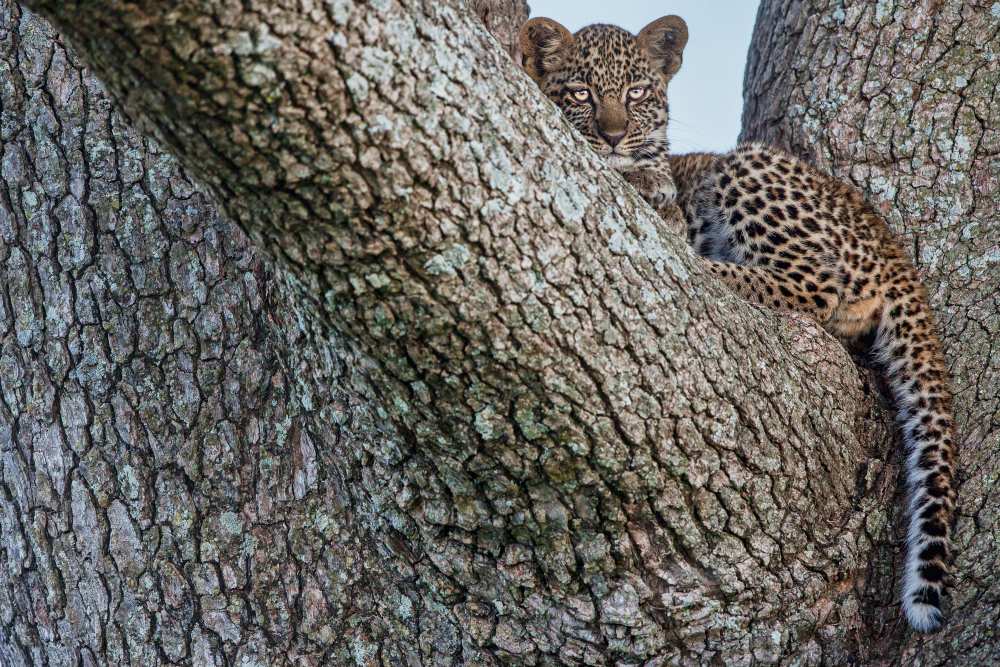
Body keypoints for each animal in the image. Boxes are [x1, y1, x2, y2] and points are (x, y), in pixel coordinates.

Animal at [519, 16, 957, 633]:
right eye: (580, 95)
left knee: (812, 285)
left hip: (746, 168)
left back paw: (705, 265)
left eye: (637, 93)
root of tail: (892, 247)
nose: (612, 137)